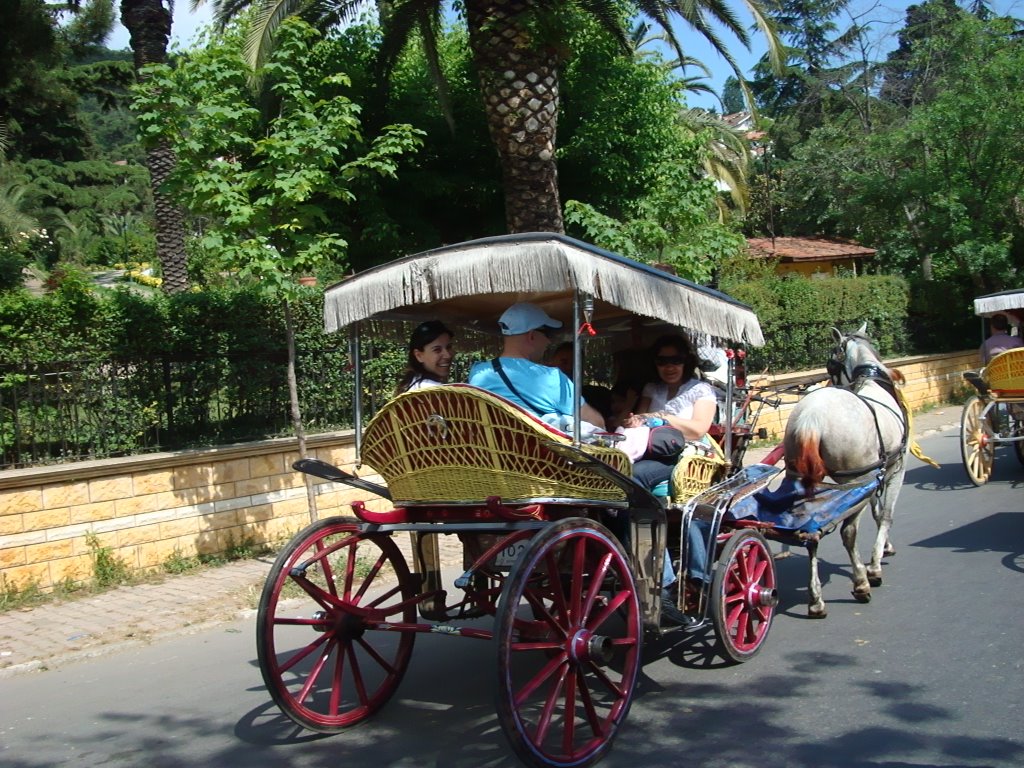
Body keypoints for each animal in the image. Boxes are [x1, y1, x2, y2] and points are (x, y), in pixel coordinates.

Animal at [782, 323, 905, 618]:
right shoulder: (895, 467)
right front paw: (875, 564)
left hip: (803, 480)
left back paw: (816, 599)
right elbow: (885, 514)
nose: (829, 381)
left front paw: (885, 548)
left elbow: (877, 510)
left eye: (830, 365)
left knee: (810, 533)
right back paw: (861, 582)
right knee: (848, 532)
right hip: (855, 479)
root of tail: (811, 417)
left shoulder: (875, 476)